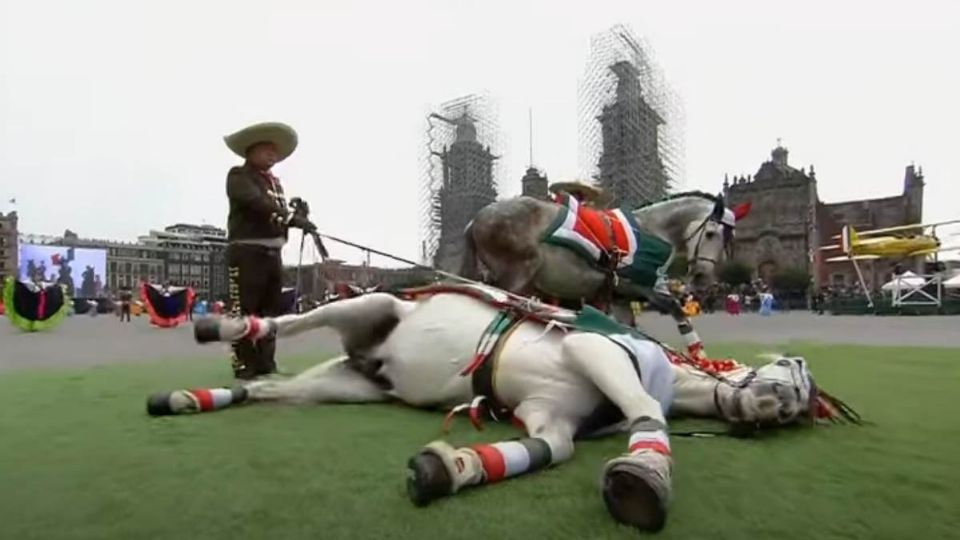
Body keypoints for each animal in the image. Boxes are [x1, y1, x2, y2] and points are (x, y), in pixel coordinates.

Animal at [146, 282, 860, 532]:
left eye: (800, 408)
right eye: (793, 373)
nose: (776, 406)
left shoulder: (551, 412)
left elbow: (550, 449)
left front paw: (451, 469)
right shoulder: (594, 351)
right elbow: (642, 411)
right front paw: (646, 475)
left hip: (348, 383)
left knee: (272, 388)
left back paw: (185, 398)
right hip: (369, 305)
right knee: (291, 321)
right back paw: (220, 327)